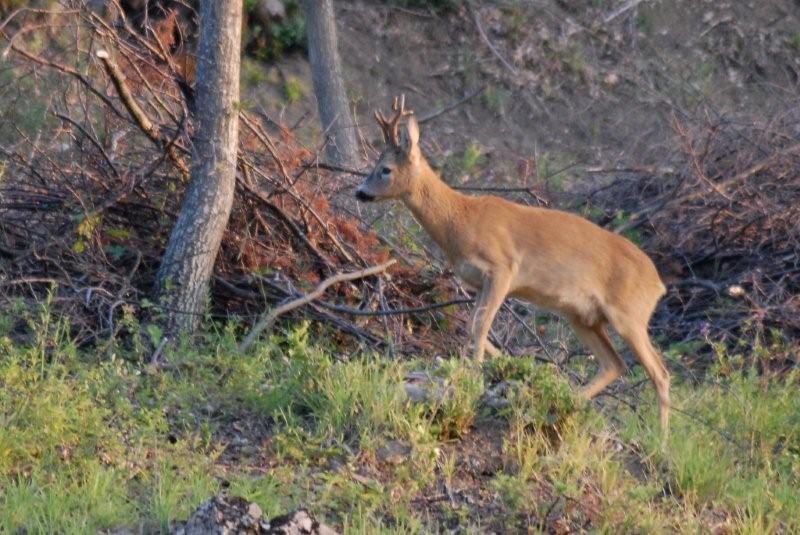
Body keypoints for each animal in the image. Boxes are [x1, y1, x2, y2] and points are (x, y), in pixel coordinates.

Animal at [354, 96, 672, 434]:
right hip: (583, 317)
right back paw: (567, 400)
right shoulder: (478, 281)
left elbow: (480, 325)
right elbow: (472, 325)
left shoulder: (503, 268)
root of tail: (658, 283)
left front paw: (473, 376)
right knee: (615, 364)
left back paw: (661, 439)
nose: (359, 192)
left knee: (659, 372)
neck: (460, 220)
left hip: (629, 313)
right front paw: (493, 366)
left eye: (385, 169)